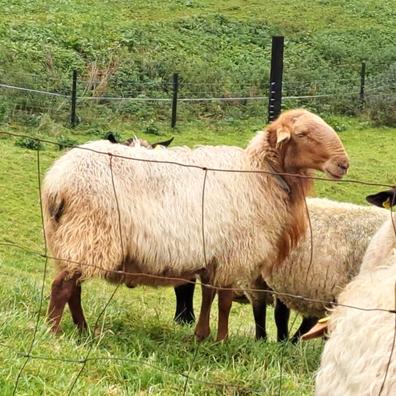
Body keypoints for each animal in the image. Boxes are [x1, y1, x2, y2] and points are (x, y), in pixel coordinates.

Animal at [41, 108, 348, 340]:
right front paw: (222, 339)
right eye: (303, 134)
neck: (261, 175)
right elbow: (224, 301)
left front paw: (202, 335)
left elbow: (209, 295)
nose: (343, 164)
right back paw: (53, 332)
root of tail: (58, 182)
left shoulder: (215, 254)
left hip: (70, 238)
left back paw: (83, 330)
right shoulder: (233, 254)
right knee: (62, 286)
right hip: (90, 234)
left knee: (74, 288)